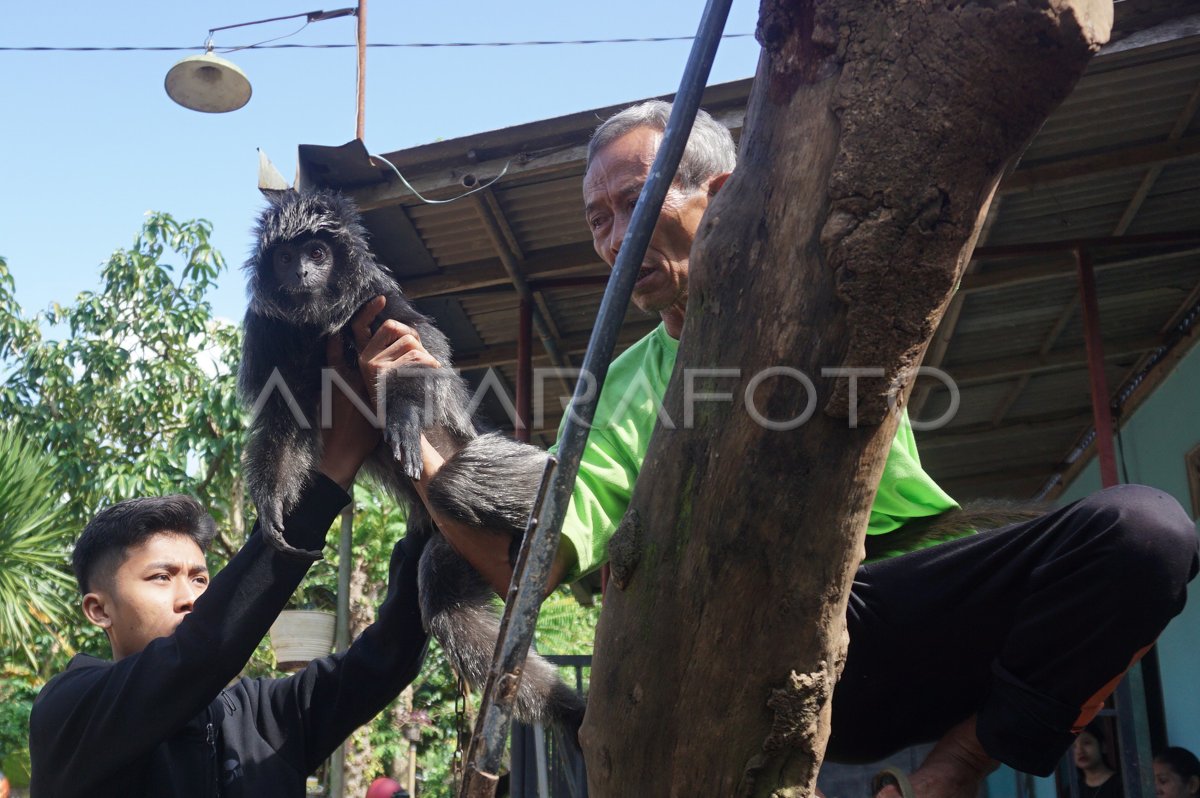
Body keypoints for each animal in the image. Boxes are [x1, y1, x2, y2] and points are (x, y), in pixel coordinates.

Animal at [236, 189, 583, 729]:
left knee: (458, 483)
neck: (319, 325)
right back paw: (566, 707)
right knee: (445, 606)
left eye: (317, 253)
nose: (302, 272)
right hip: (453, 550)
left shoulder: (380, 302)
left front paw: (400, 416)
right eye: (286, 257)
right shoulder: (269, 333)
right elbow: (282, 416)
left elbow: (412, 356)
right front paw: (270, 504)